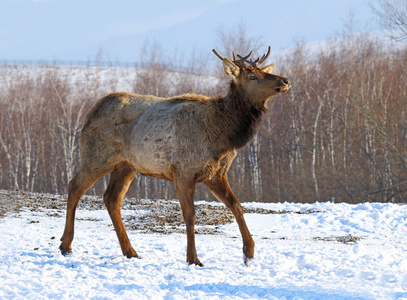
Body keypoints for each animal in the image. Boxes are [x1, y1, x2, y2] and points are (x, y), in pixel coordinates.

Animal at [59, 47, 290, 268]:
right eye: (252, 76)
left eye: (263, 71)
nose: (285, 81)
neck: (224, 136)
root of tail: (90, 113)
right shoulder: (184, 172)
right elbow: (190, 215)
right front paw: (193, 258)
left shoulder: (216, 174)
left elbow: (237, 206)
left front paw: (248, 253)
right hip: (98, 156)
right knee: (74, 186)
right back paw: (66, 244)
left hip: (126, 165)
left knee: (112, 198)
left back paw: (130, 251)